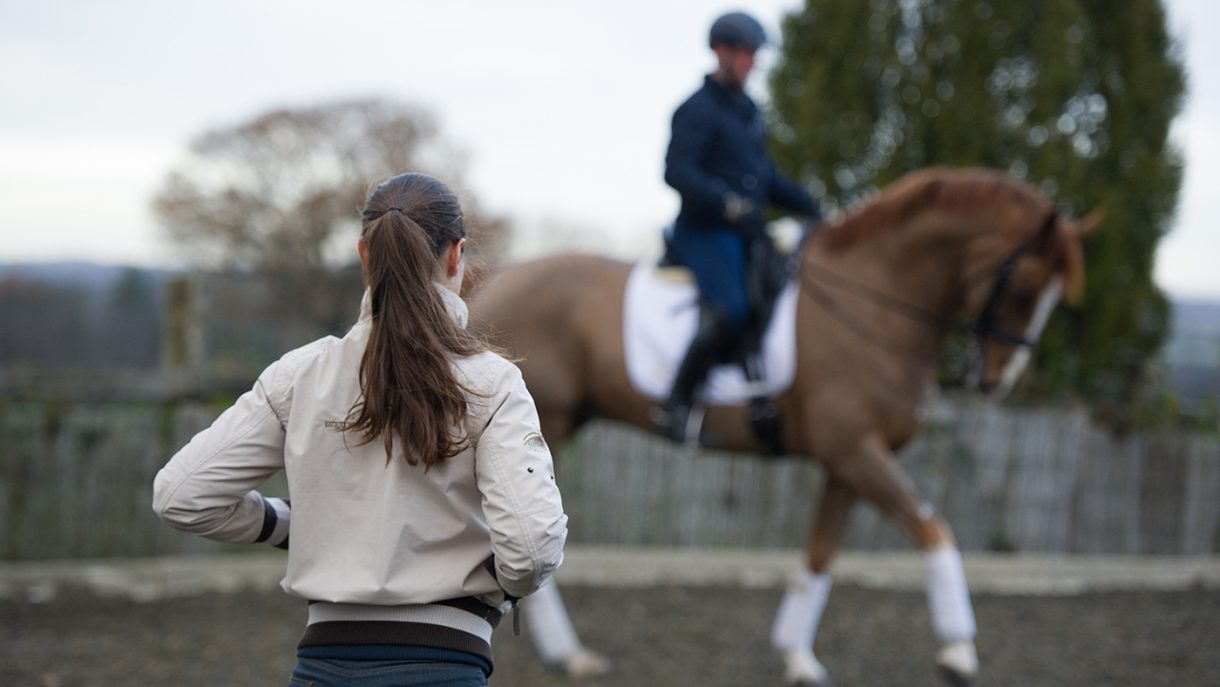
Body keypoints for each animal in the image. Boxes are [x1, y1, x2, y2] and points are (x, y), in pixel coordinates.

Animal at [468, 167, 1101, 685]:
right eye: (1024, 289)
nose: (997, 380)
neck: (876, 302)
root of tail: (492, 284)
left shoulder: (849, 463)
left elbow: (821, 554)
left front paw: (797, 657)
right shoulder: (856, 451)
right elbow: (935, 529)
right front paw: (958, 653)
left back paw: (566, 654)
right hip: (540, 429)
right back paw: (564, 652)